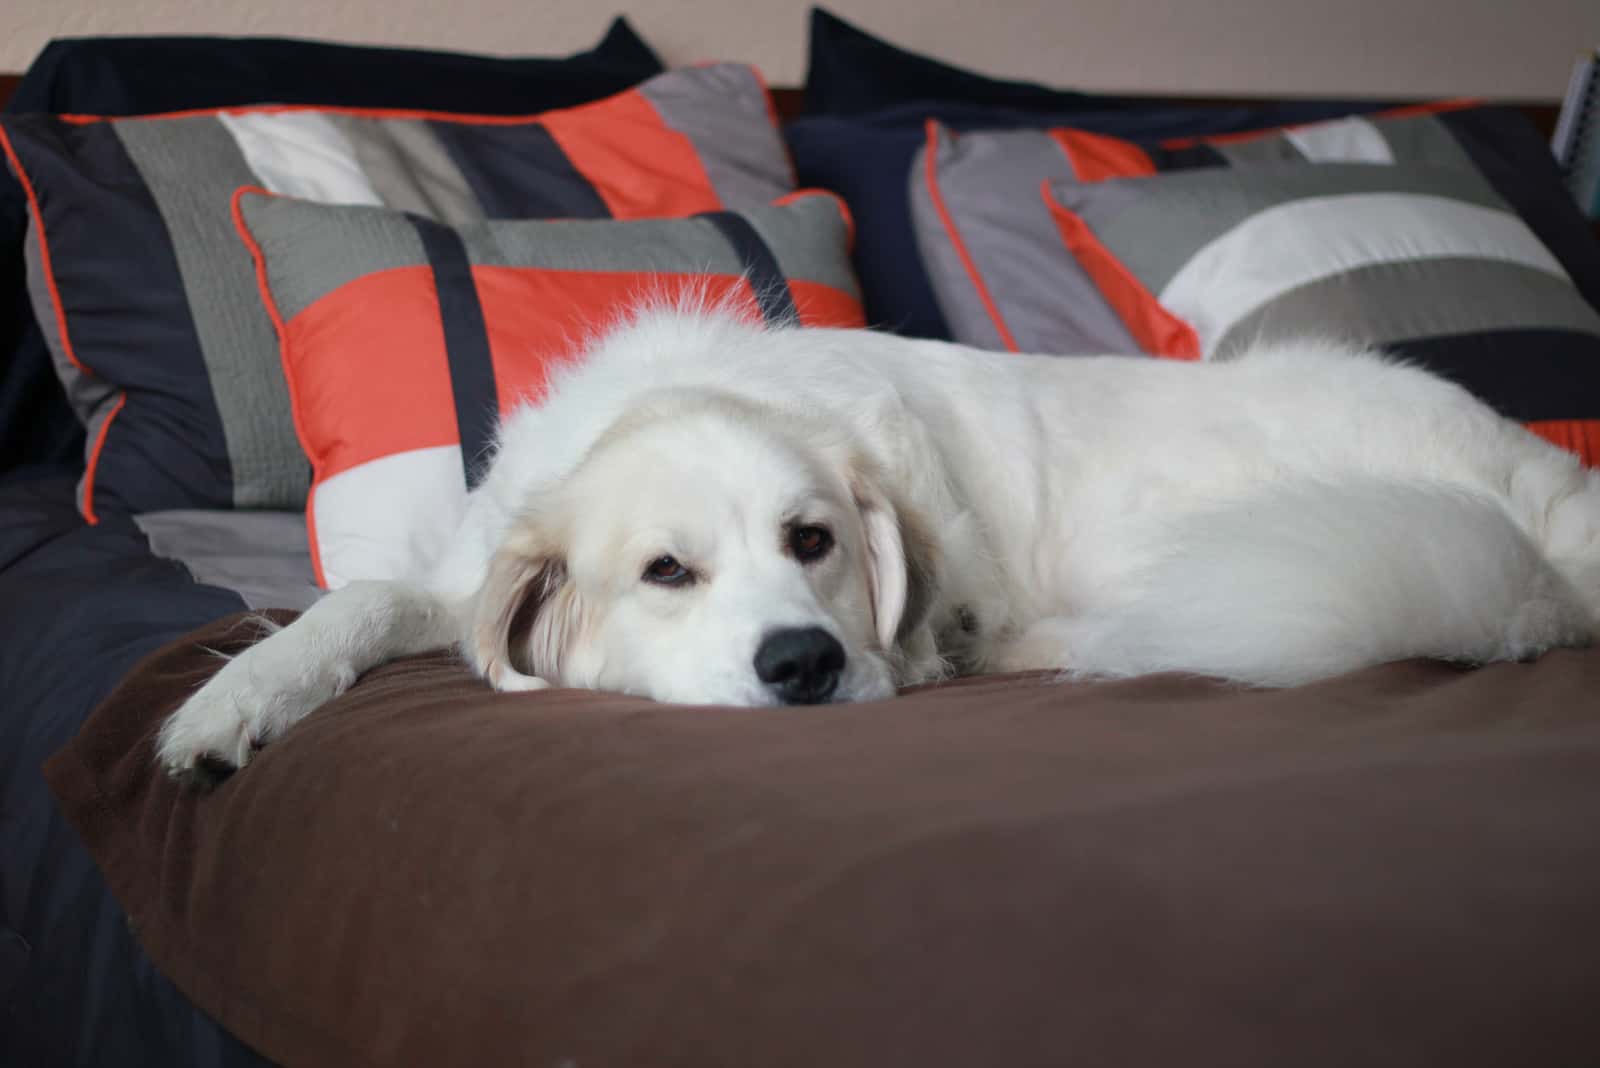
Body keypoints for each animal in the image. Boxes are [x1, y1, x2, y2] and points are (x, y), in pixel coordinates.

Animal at [152, 300, 1600, 783]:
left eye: (815, 542)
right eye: (667, 572)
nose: (802, 663)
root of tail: (1538, 497)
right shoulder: (462, 580)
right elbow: (357, 603)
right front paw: (232, 704)